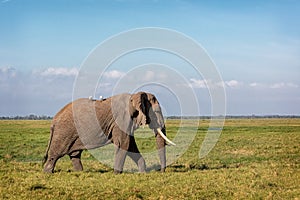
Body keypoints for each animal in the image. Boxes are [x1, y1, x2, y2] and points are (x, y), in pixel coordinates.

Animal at [42, 92, 173, 173]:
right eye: (156, 112)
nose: (160, 172)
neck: (135, 96)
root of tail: (53, 120)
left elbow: (130, 145)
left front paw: (142, 173)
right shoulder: (121, 120)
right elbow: (124, 144)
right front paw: (117, 174)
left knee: (75, 154)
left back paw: (80, 172)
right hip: (63, 132)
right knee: (55, 155)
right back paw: (47, 172)